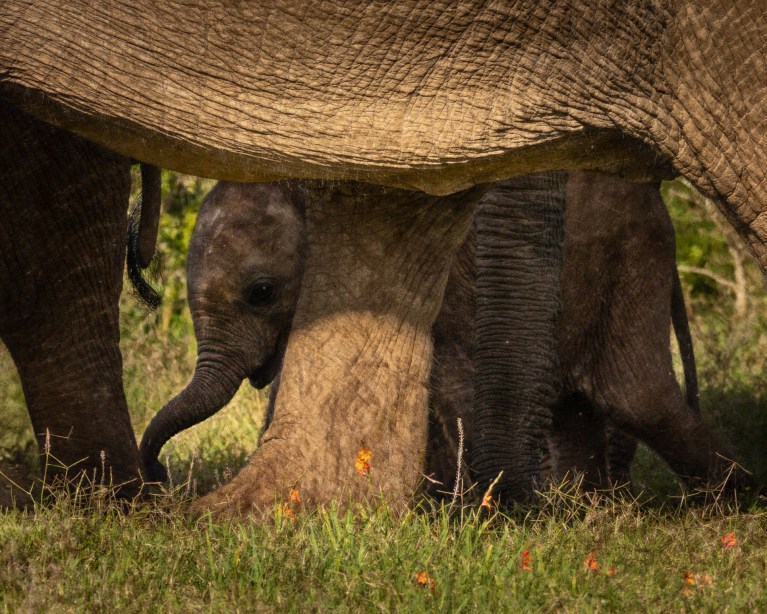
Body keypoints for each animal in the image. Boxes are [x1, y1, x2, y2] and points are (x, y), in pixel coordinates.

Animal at [139, 172, 730, 500]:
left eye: (260, 292)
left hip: (632, 260)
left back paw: (726, 501)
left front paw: (459, 514)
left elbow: (455, 386)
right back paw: (589, 507)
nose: (158, 478)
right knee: (580, 408)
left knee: (634, 395)